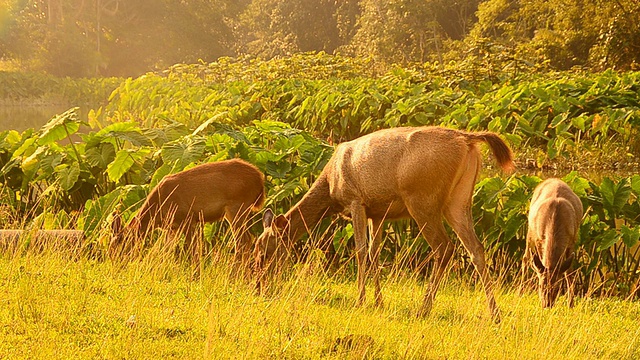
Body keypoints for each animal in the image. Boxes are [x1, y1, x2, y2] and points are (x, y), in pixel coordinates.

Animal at [110, 158, 264, 272]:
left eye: (121, 245)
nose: (115, 264)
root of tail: (259, 179)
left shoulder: (188, 218)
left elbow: (193, 249)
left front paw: (195, 274)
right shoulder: (172, 227)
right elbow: (165, 250)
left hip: (237, 207)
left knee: (244, 241)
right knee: (247, 239)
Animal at [255, 126, 516, 320]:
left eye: (266, 251)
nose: (259, 285)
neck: (330, 186)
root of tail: (467, 139)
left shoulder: (355, 200)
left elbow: (361, 250)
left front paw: (360, 301)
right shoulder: (378, 213)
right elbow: (374, 253)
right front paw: (378, 302)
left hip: (423, 199)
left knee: (444, 247)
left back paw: (424, 309)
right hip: (459, 199)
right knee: (476, 248)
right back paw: (495, 314)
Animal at [524, 179, 584, 308]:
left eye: (557, 288)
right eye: (540, 285)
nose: (547, 305)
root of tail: (552, 179)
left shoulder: (571, 241)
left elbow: (568, 272)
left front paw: (571, 304)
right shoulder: (539, 239)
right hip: (530, 231)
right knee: (526, 257)